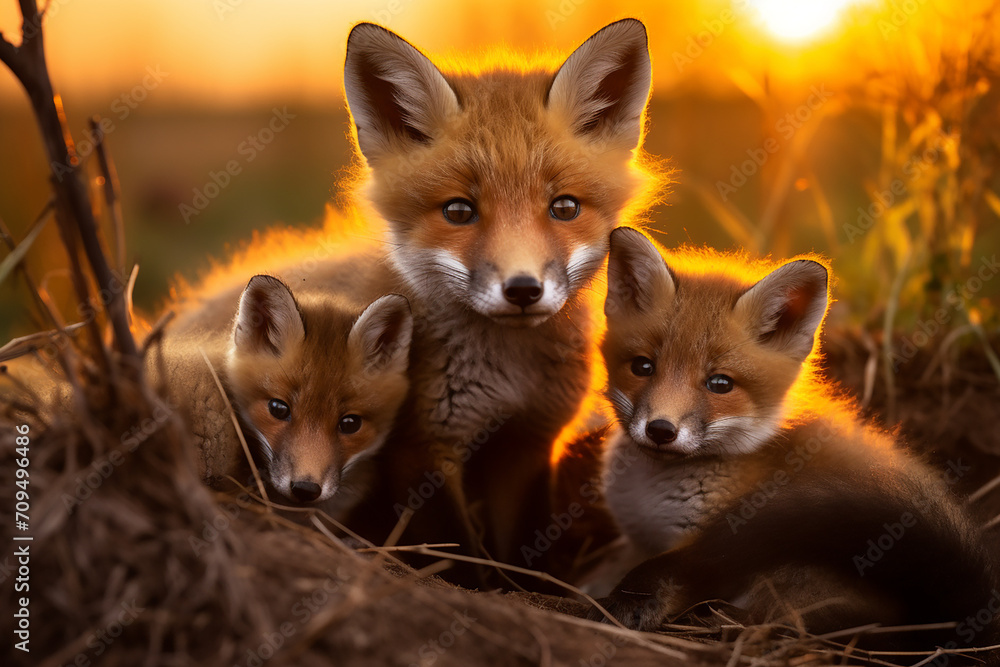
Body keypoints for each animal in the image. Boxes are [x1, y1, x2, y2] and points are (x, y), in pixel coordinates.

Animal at [589, 227, 1000, 658]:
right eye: (643, 366)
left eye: (720, 384)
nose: (660, 430)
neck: (652, 493)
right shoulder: (637, 541)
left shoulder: (720, 541)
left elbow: (676, 574)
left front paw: (630, 603)